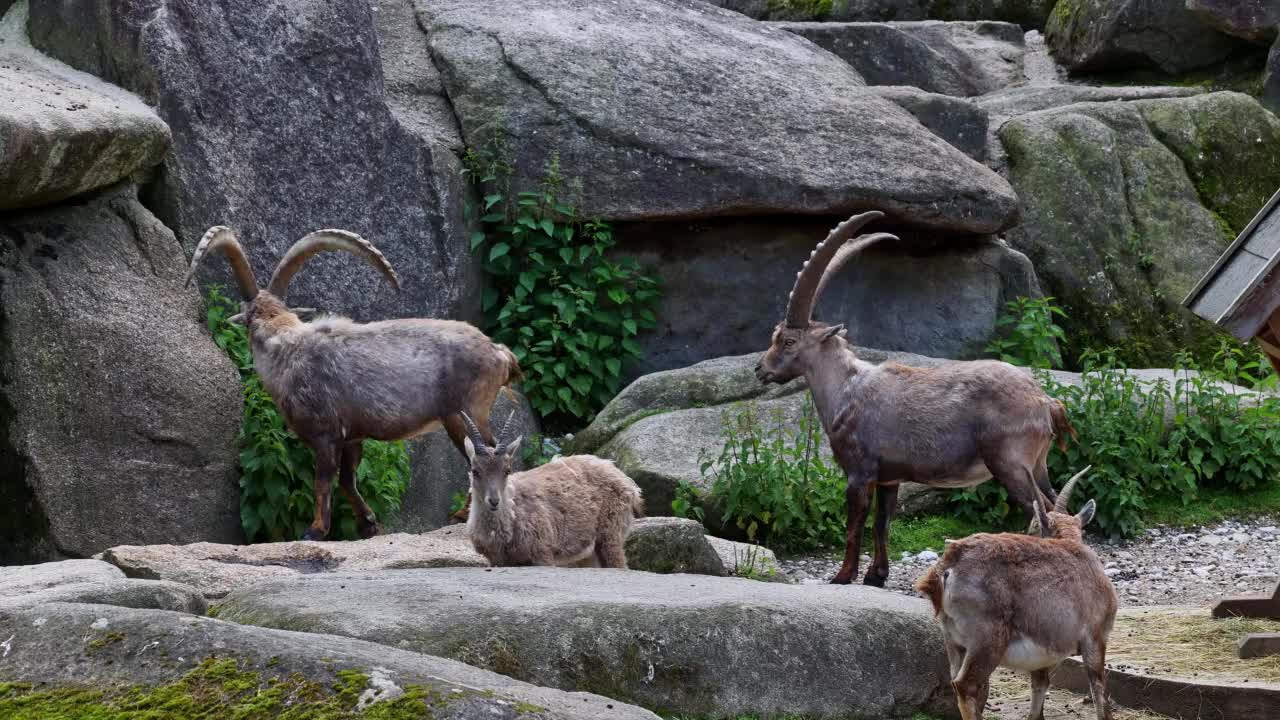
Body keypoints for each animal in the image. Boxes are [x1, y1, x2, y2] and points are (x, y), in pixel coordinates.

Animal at [189, 226, 519, 535]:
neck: (286, 348)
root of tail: (499, 353)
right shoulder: (353, 437)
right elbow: (348, 480)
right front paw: (368, 523)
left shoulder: (325, 434)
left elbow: (323, 481)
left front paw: (315, 530)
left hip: (463, 414)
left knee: (485, 451)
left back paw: (463, 515)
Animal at [458, 409, 640, 566]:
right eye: (475, 471)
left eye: (507, 470)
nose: (494, 501)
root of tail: (629, 484)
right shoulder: (498, 561)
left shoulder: (543, 553)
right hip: (590, 552)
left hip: (610, 535)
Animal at [752, 211, 1075, 584]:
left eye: (788, 340)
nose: (760, 370)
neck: (845, 390)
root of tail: (1045, 402)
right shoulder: (890, 477)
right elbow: (882, 525)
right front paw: (876, 576)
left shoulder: (859, 471)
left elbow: (855, 525)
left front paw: (843, 576)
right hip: (1038, 465)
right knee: (1059, 505)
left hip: (1011, 463)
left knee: (1045, 514)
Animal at [916, 466, 1116, 717]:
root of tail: (949, 565)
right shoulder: (1095, 638)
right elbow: (1099, 690)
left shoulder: (1042, 658)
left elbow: (1039, 692)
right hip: (987, 641)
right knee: (966, 686)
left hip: (954, 642)